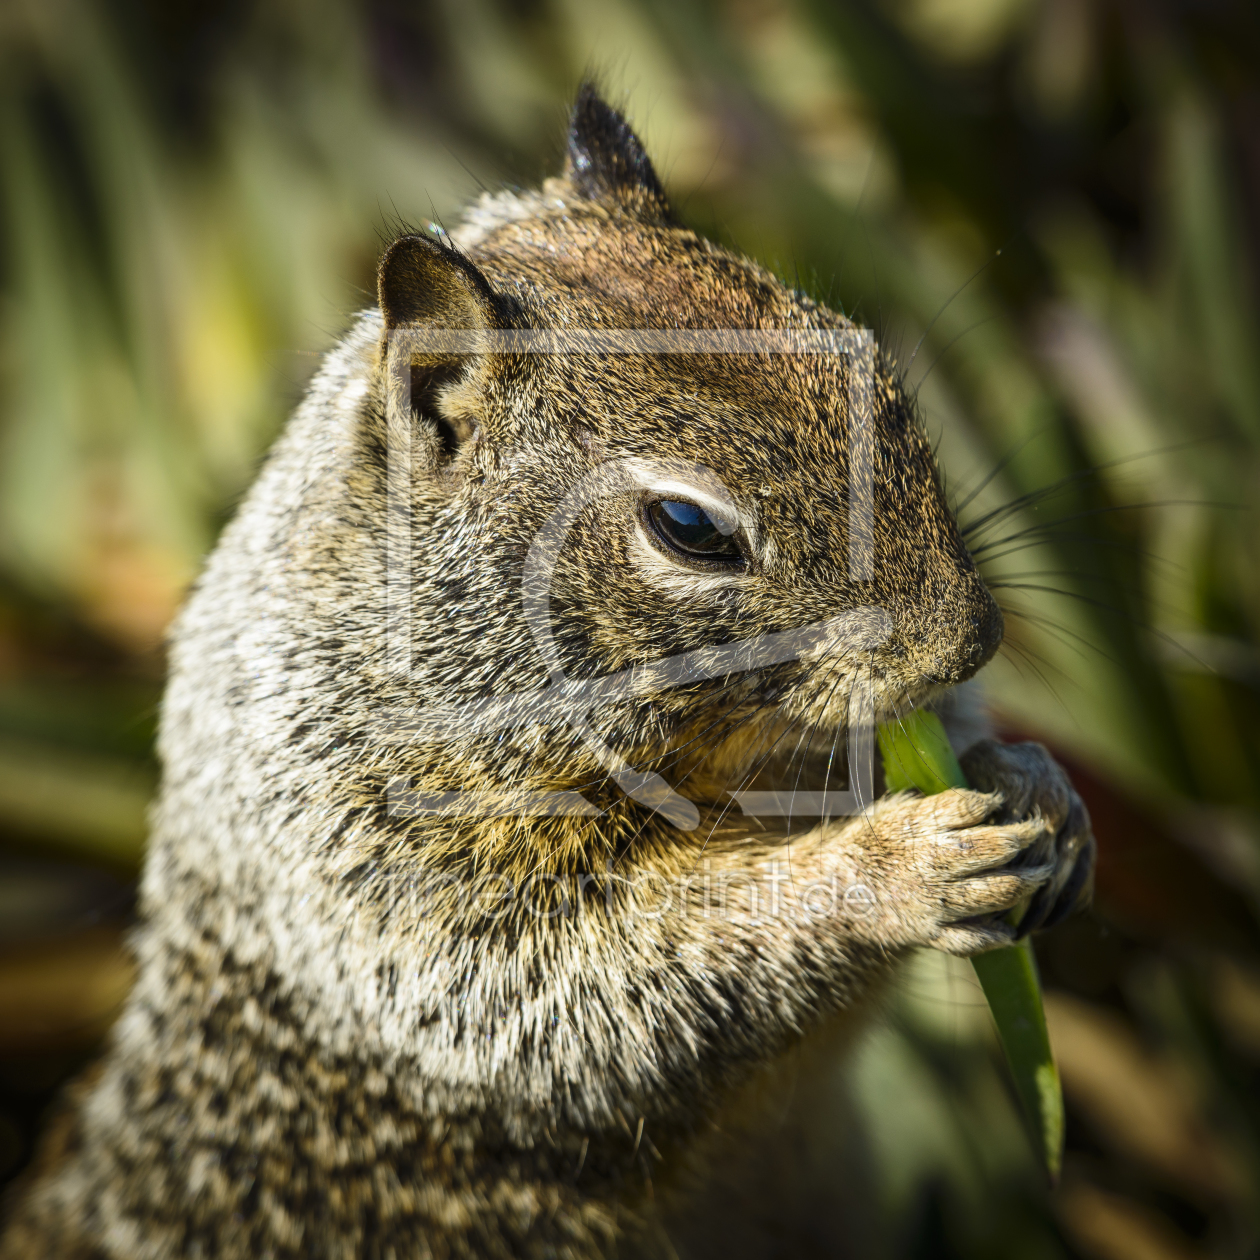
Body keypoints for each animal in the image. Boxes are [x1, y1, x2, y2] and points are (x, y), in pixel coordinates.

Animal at [0, 88, 1088, 1260]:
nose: (968, 643)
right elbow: (594, 986)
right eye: (688, 528)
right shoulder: (389, 887)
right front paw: (898, 868)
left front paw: (1037, 786)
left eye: (877, 369)